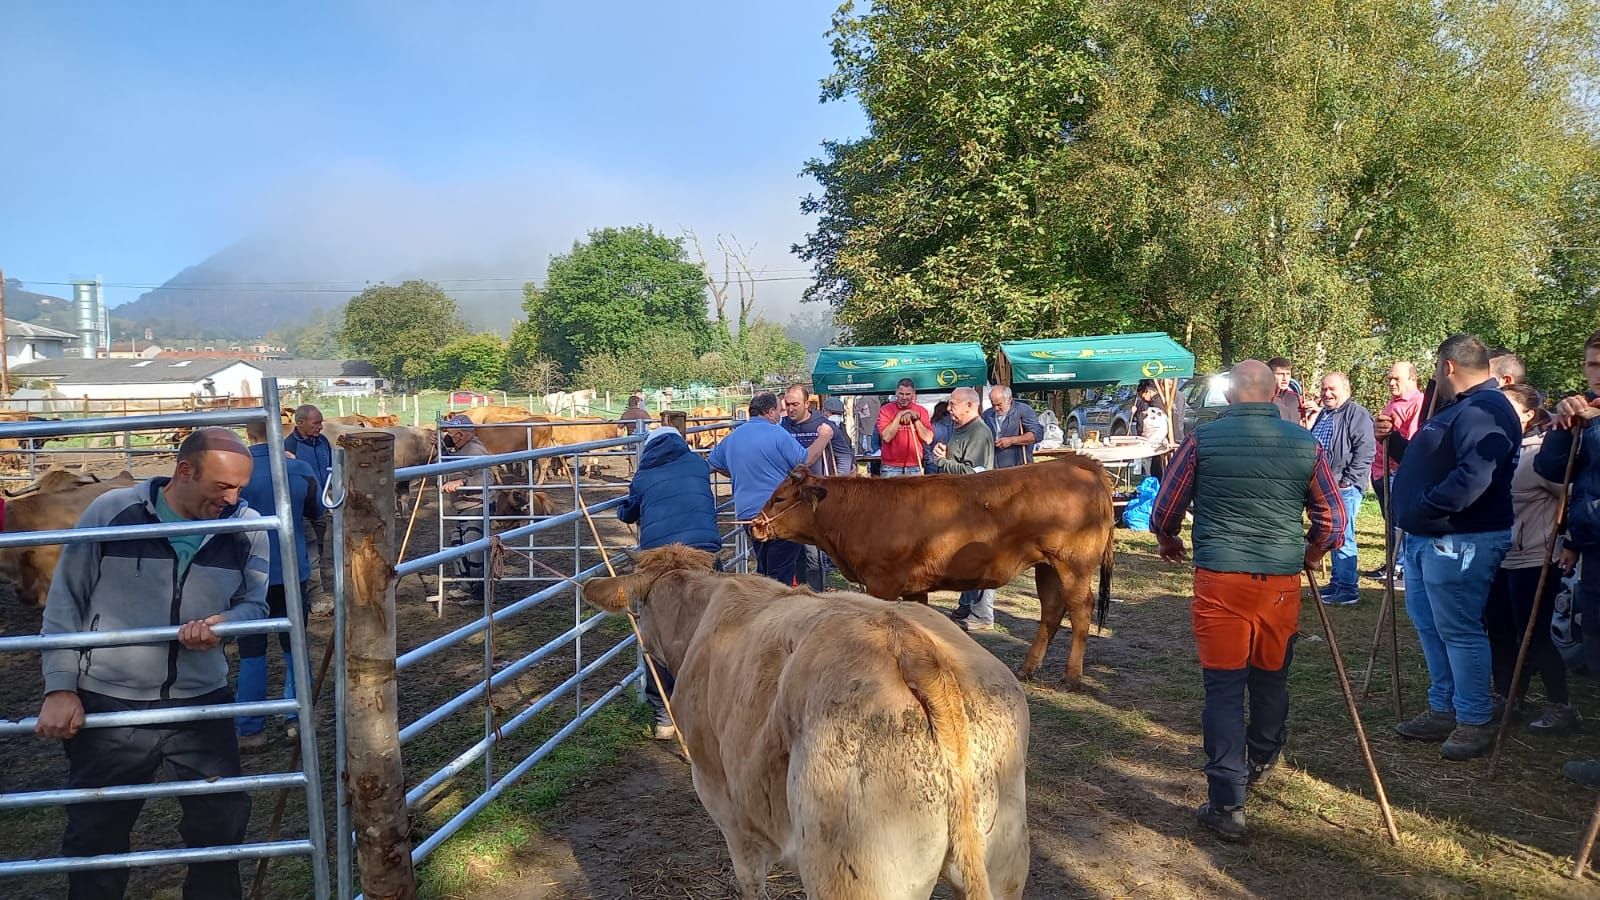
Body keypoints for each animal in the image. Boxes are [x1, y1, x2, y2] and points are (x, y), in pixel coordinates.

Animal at [748, 458, 1113, 682]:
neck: (855, 513)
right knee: (1051, 611)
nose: (754, 526)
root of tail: (1077, 462)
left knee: (1080, 609)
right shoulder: (915, 587)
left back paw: (1072, 675)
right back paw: (1027, 669)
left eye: (779, 498)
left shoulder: (882, 581)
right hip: (1046, 566)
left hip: (1073, 564)